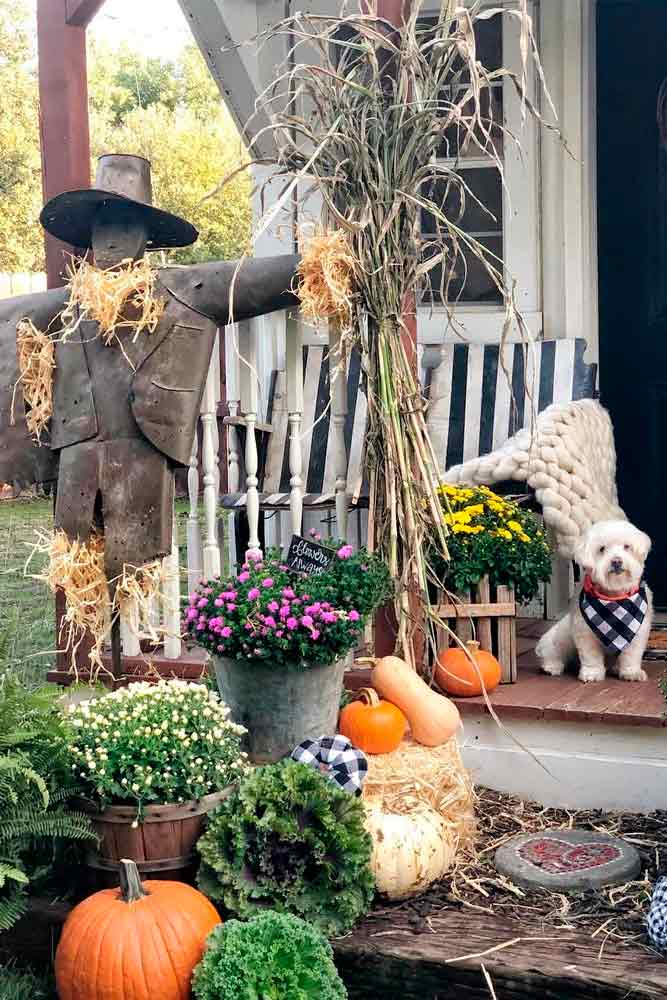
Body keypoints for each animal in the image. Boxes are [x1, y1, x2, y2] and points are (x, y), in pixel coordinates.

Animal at [536, 520, 652, 684]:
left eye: (627, 546)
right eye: (602, 549)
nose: (617, 561)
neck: (613, 597)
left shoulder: (636, 632)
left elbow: (631, 655)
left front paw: (631, 672)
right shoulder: (585, 632)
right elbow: (590, 655)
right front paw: (592, 673)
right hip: (562, 637)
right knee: (553, 650)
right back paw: (551, 666)